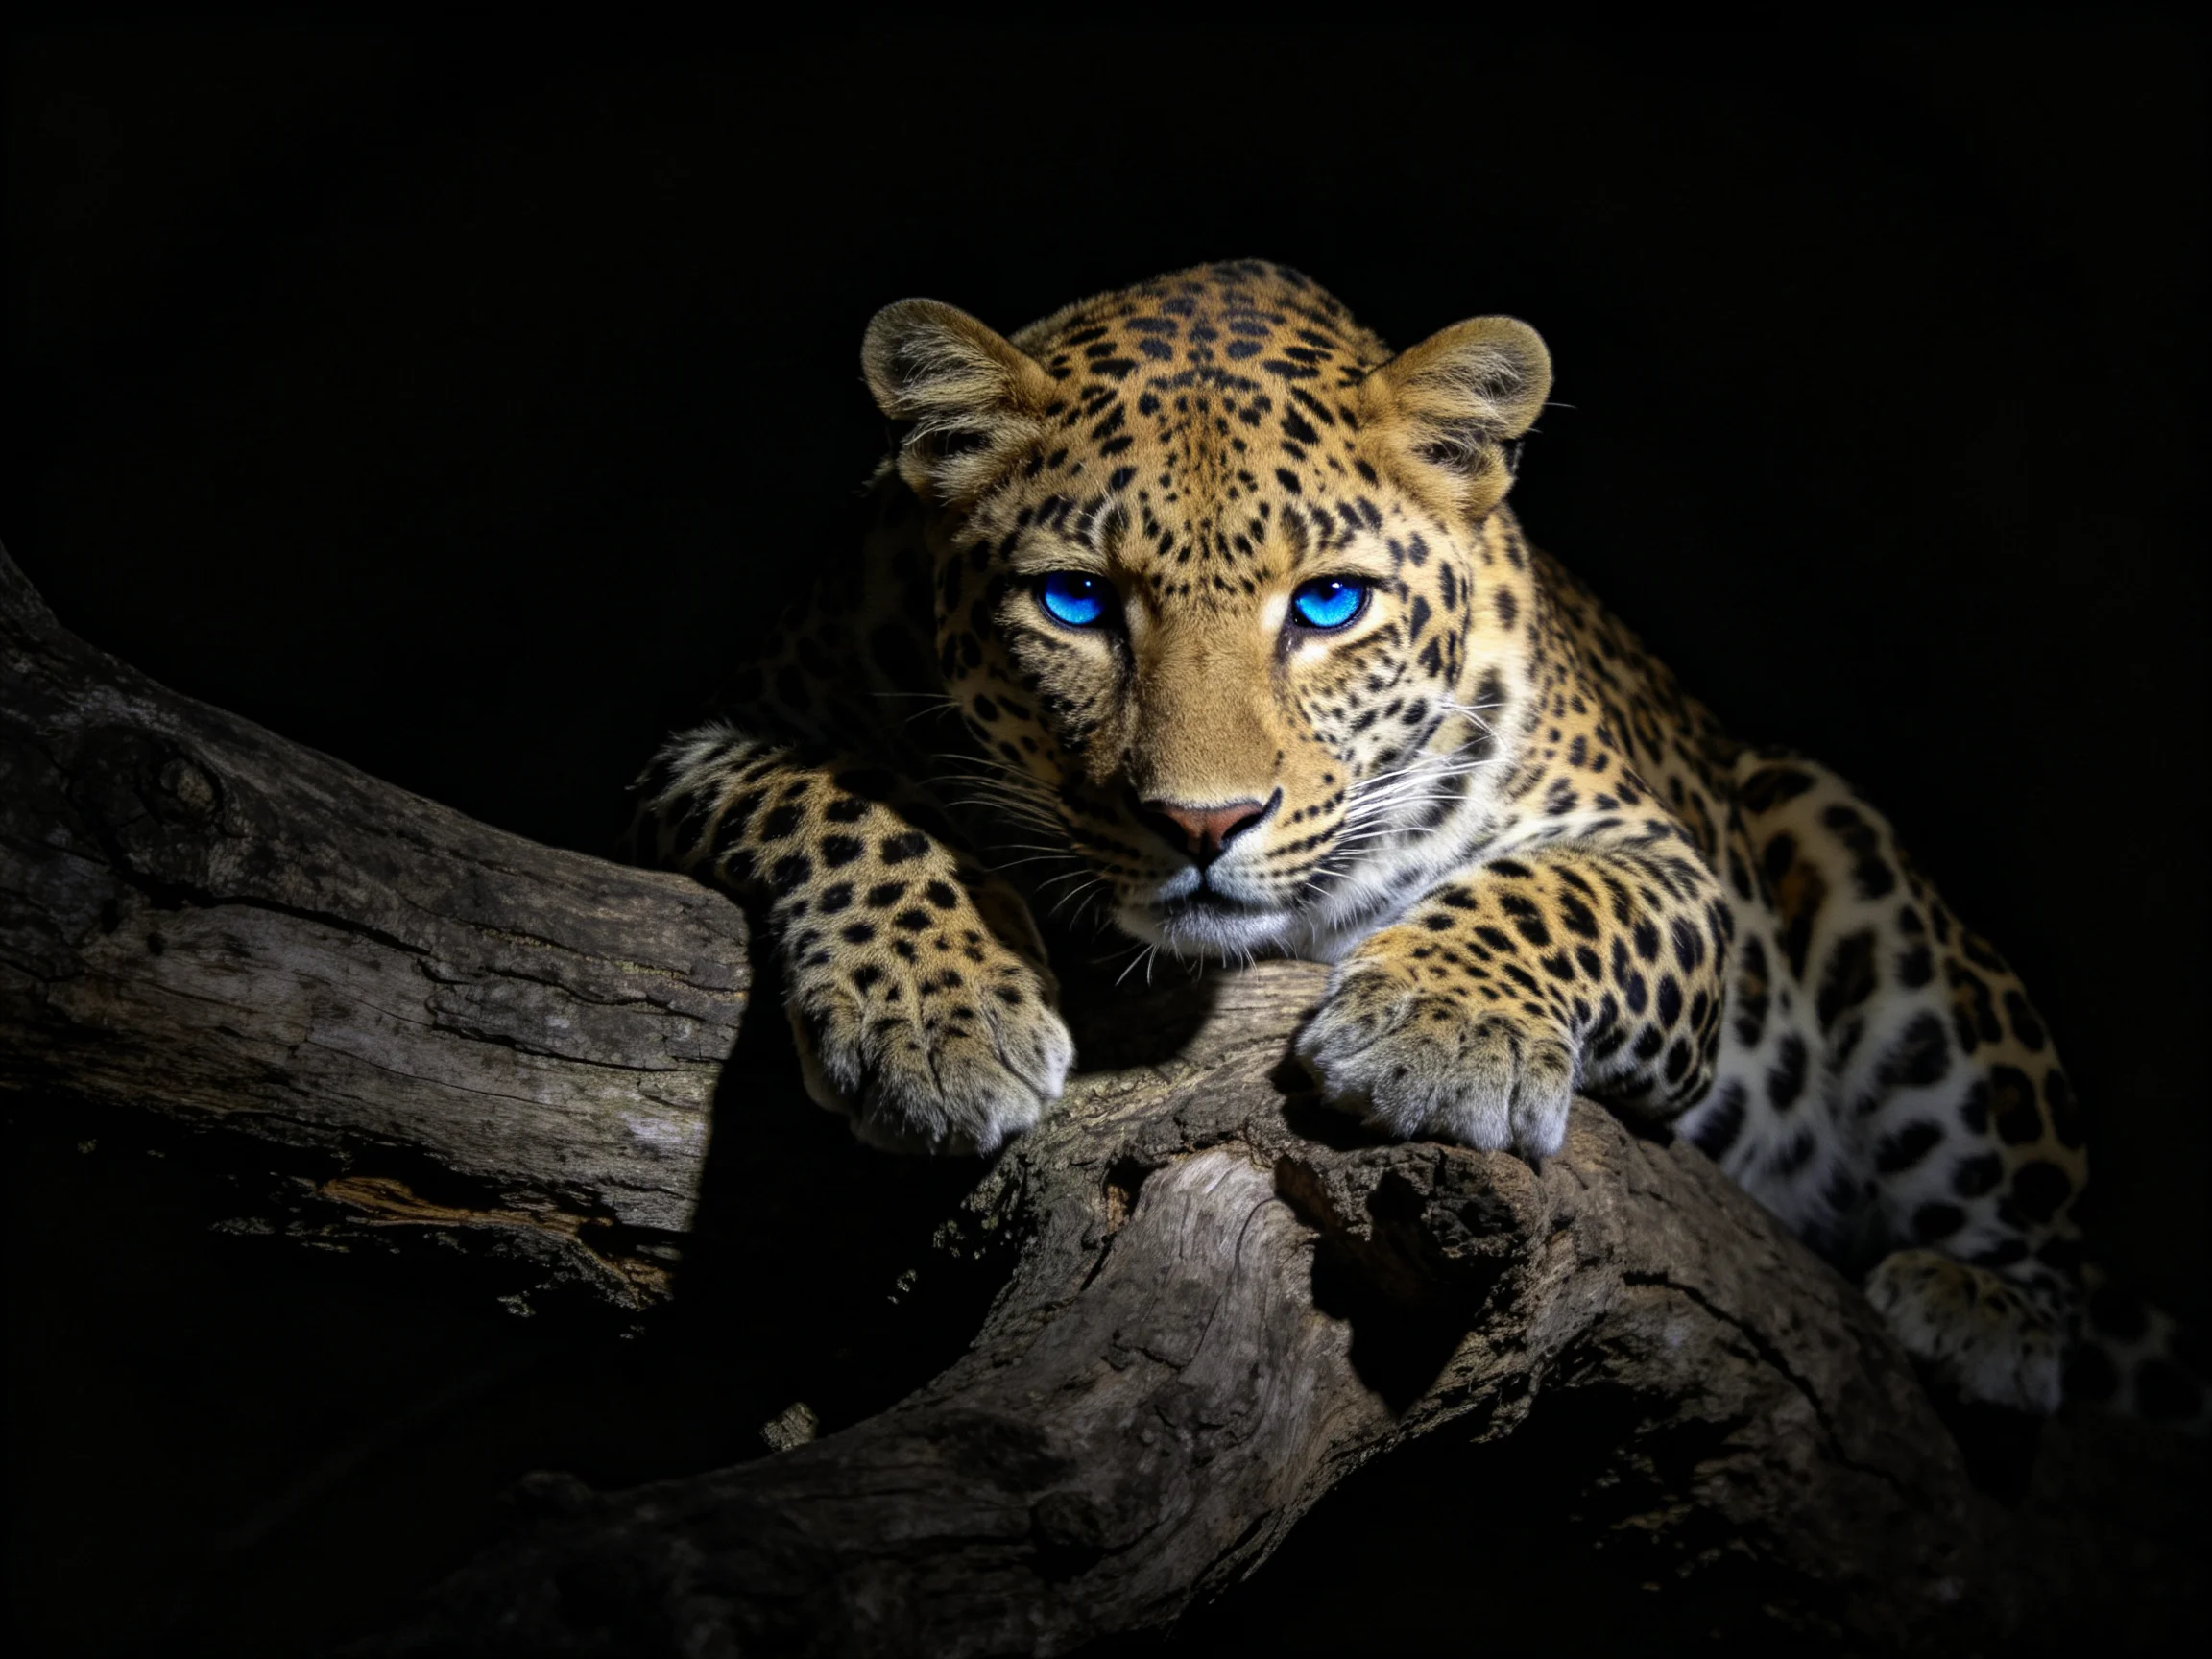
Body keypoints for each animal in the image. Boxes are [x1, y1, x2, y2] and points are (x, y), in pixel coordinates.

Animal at [637, 259, 2201, 1427]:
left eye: (1329, 605)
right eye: (1075, 602)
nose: (1203, 821)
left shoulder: (1666, 862)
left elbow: (1551, 895)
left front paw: (1435, 1035)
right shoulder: (718, 737)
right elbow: (854, 807)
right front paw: (939, 1022)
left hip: (1844, 847)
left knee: (2036, 1217)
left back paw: (1983, 1307)